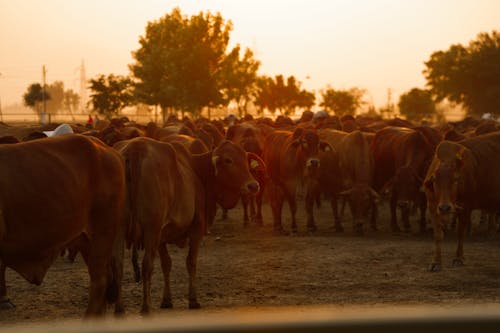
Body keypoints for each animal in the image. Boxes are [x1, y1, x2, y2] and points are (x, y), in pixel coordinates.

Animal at [114, 137, 262, 312]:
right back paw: (146, 307)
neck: (196, 171)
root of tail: (135, 149)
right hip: (151, 229)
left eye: (245, 159)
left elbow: (166, 264)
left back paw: (120, 308)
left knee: (117, 266)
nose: (253, 185)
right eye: (228, 160)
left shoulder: (161, 237)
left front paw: (167, 300)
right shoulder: (195, 230)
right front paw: (193, 299)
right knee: (147, 265)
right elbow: (191, 262)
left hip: (120, 231)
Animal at [424, 131, 500, 272]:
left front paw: (458, 258)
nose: (445, 208)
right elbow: (438, 235)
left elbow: (460, 233)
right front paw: (436, 262)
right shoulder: (432, 207)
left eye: (455, 179)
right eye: (435, 180)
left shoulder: (465, 208)